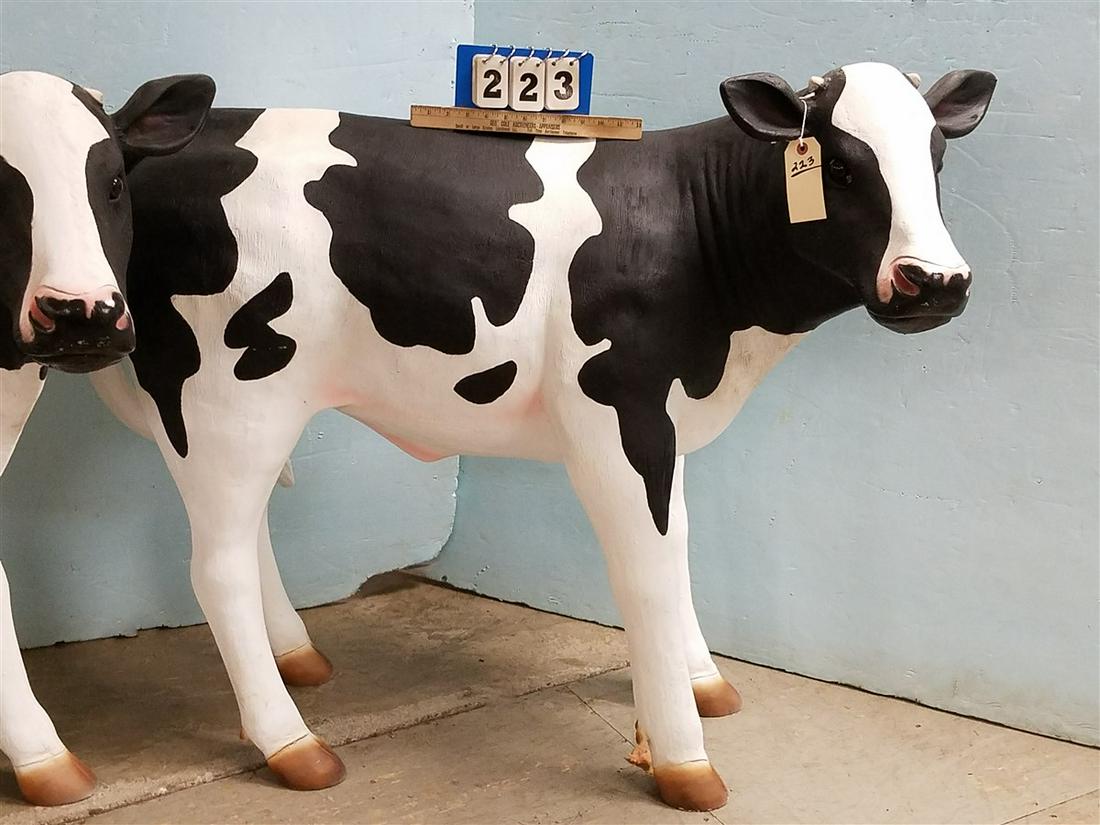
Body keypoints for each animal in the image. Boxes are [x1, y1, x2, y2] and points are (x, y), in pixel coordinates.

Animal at [85, 61, 996, 812]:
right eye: (840, 165)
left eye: (937, 160)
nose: (936, 281)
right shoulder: (621, 415)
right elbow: (650, 572)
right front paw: (683, 756)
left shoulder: (664, 421)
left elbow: (679, 543)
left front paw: (699, 681)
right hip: (225, 399)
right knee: (216, 568)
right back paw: (292, 743)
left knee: (241, 542)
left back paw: (297, 660)